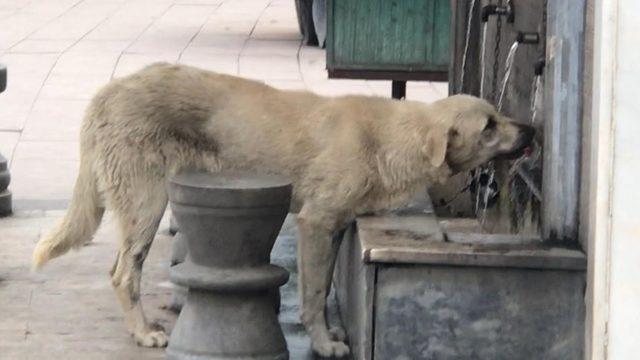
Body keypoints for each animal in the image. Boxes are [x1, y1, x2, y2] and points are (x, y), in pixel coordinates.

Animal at [33, 62, 536, 358]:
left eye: (498, 116)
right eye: (489, 126)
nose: (532, 130)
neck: (388, 138)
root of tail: (107, 92)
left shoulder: (336, 228)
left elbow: (322, 290)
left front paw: (328, 335)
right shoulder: (315, 223)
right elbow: (313, 295)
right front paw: (322, 343)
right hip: (146, 201)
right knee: (123, 273)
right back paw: (142, 333)